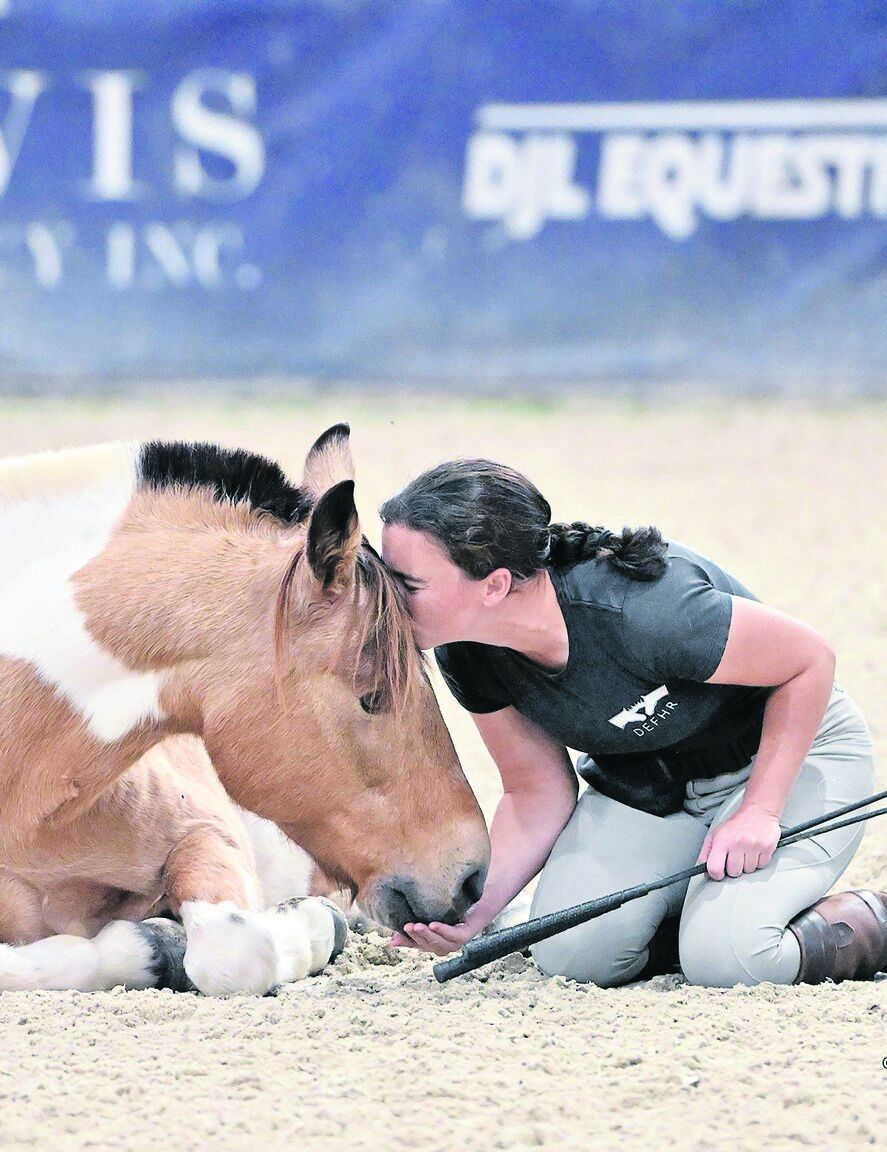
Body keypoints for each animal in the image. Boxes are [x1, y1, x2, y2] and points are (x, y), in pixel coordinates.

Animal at [0, 424, 490, 995]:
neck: (29, 808)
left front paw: (309, 926)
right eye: (372, 696)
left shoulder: (207, 835)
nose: (471, 876)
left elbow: (232, 949)